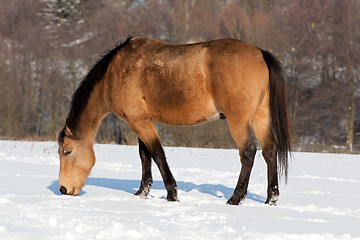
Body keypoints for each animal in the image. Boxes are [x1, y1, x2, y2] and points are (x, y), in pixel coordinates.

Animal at [57, 36, 292, 205]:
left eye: (67, 152)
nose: (64, 189)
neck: (115, 71)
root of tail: (260, 53)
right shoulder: (140, 120)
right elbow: (144, 156)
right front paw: (142, 193)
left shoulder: (139, 122)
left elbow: (157, 154)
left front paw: (172, 194)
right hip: (260, 117)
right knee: (269, 151)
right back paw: (271, 199)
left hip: (239, 121)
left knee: (248, 152)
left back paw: (235, 198)